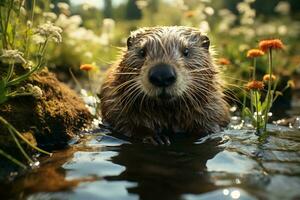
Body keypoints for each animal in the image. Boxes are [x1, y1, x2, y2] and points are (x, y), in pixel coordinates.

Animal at [100, 27, 230, 145]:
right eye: (142, 52)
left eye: (186, 51)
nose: (162, 74)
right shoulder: (116, 106)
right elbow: (127, 124)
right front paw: (157, 138)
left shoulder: (214, 109)